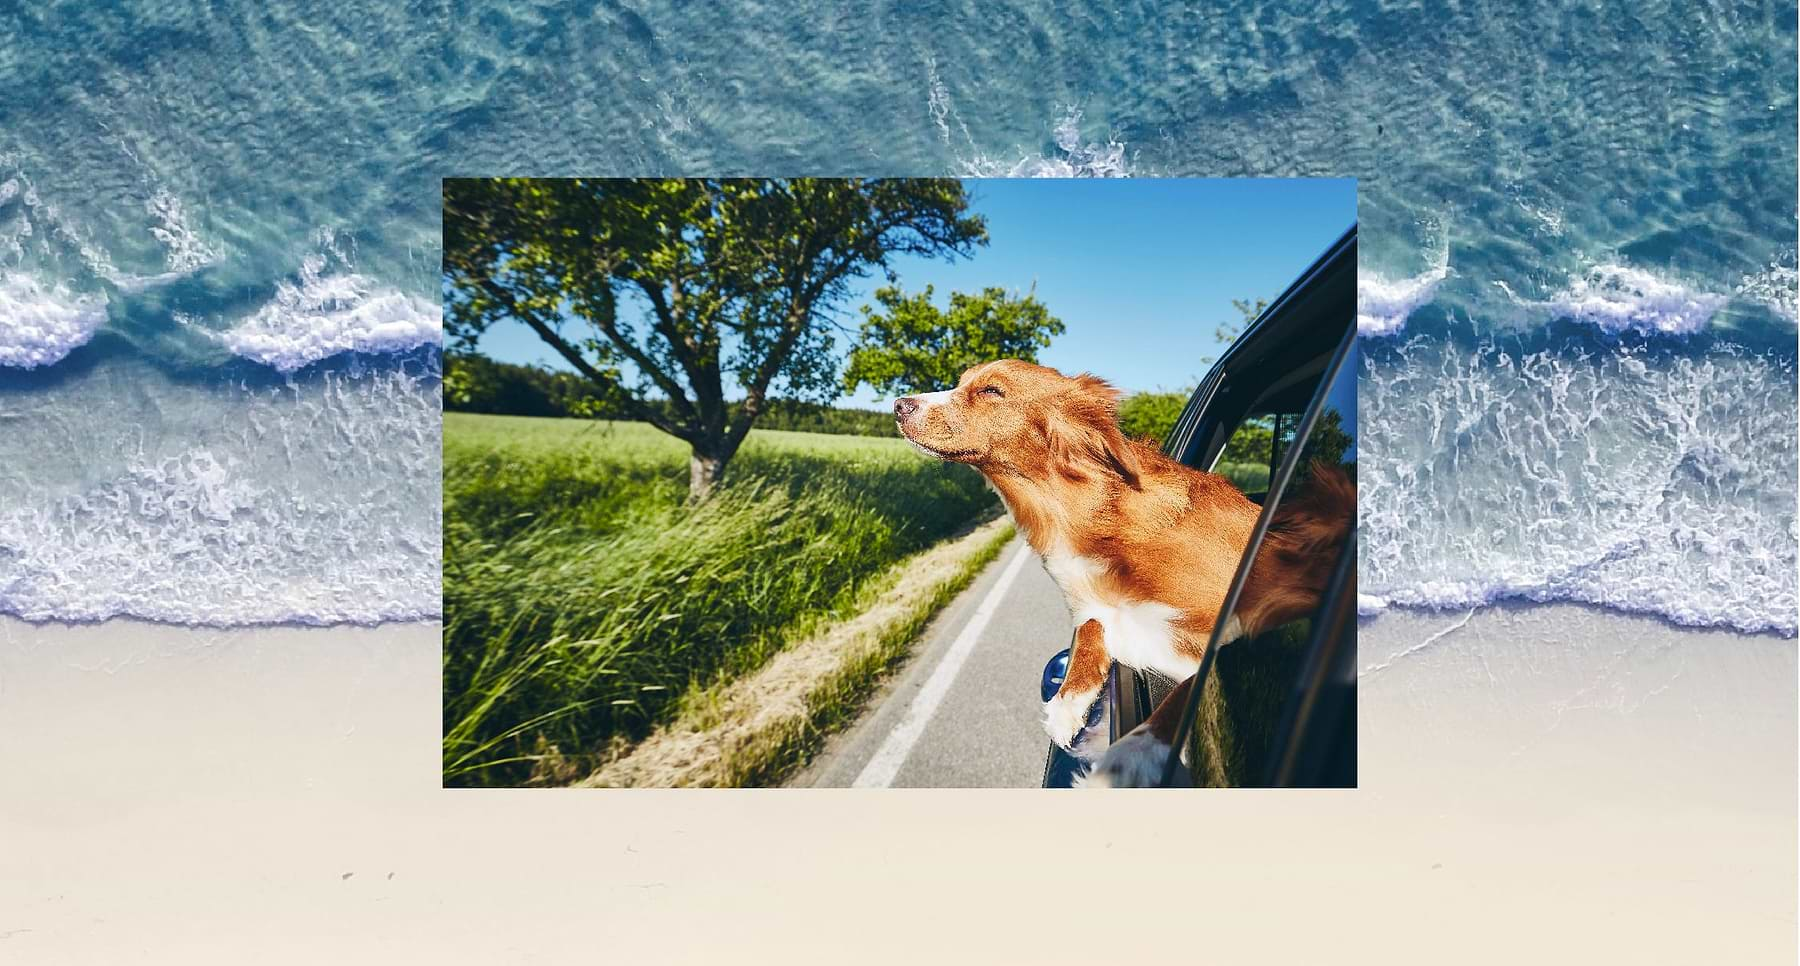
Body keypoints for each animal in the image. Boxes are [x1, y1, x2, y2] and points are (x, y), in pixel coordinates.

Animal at [900, 357, 1353, 780]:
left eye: (991, 391)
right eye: (961, 382)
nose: (900, 405)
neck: (1083, 515)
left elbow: (1188, 690)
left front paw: (1127, 758)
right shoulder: (1100, 609)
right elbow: (1090, 629)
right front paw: (1068, 703)